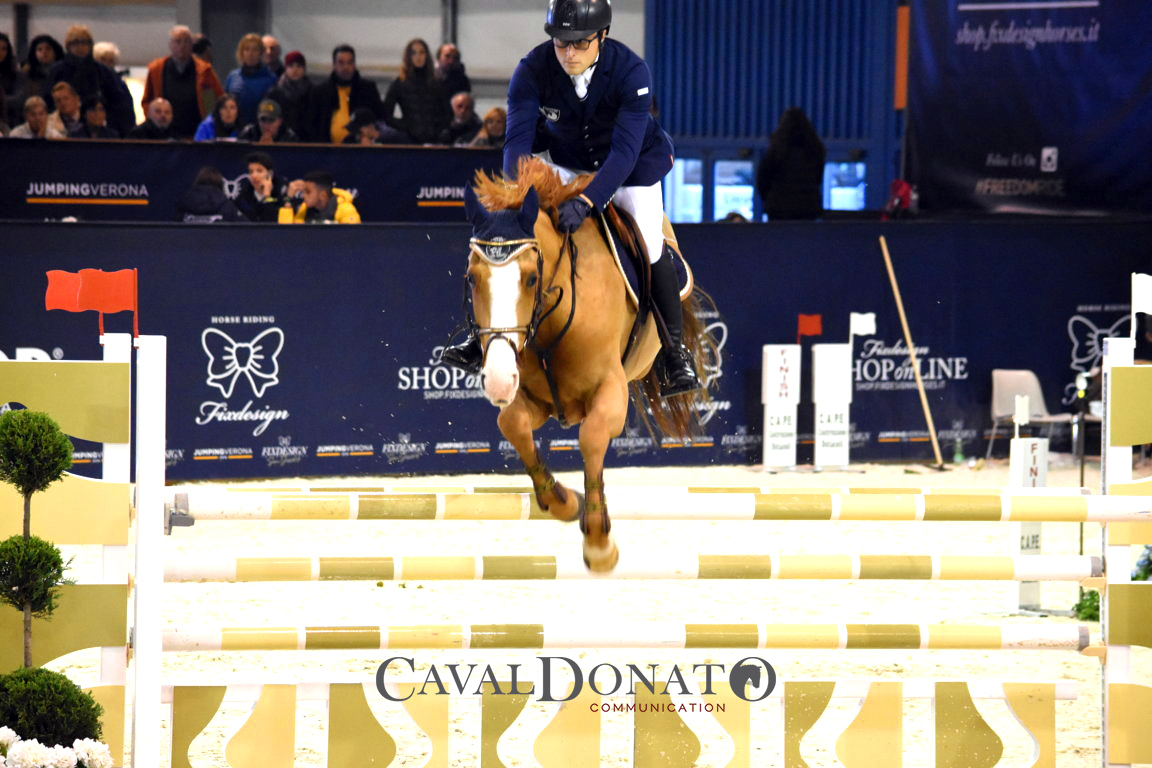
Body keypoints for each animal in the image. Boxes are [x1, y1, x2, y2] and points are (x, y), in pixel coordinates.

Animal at [461, 158, 712, 571]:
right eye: (471, 278)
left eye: (531, 278)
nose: (497, 379)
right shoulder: (537, 400)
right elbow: (511, 423)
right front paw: (561, 500)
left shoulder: (610, 391)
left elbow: (592, 436)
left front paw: (598, 542)